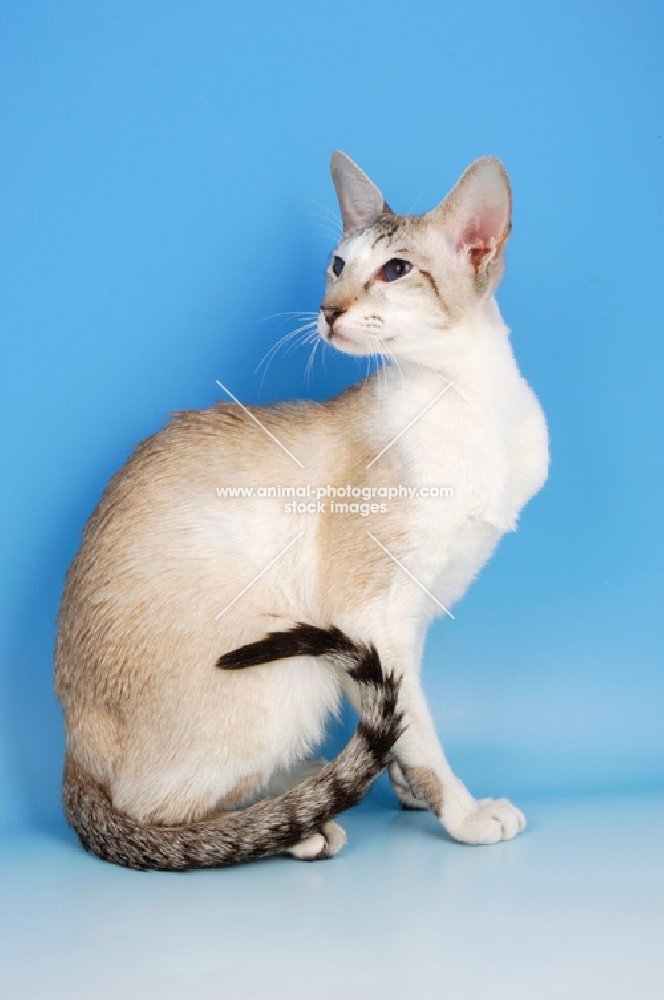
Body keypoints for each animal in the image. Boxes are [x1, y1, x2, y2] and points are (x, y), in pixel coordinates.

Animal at [53, 148, 548, 868]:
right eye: (337, 265)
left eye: (395, 270)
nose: (328, 310)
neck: (475, 403)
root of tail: (70, 754)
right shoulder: (370, 615)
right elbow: (421, 734)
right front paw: (460, 813)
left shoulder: (413, 617)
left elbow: (401, 719)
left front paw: (400, 787)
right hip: (293, 668)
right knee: (154, 809)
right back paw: (299, 824)